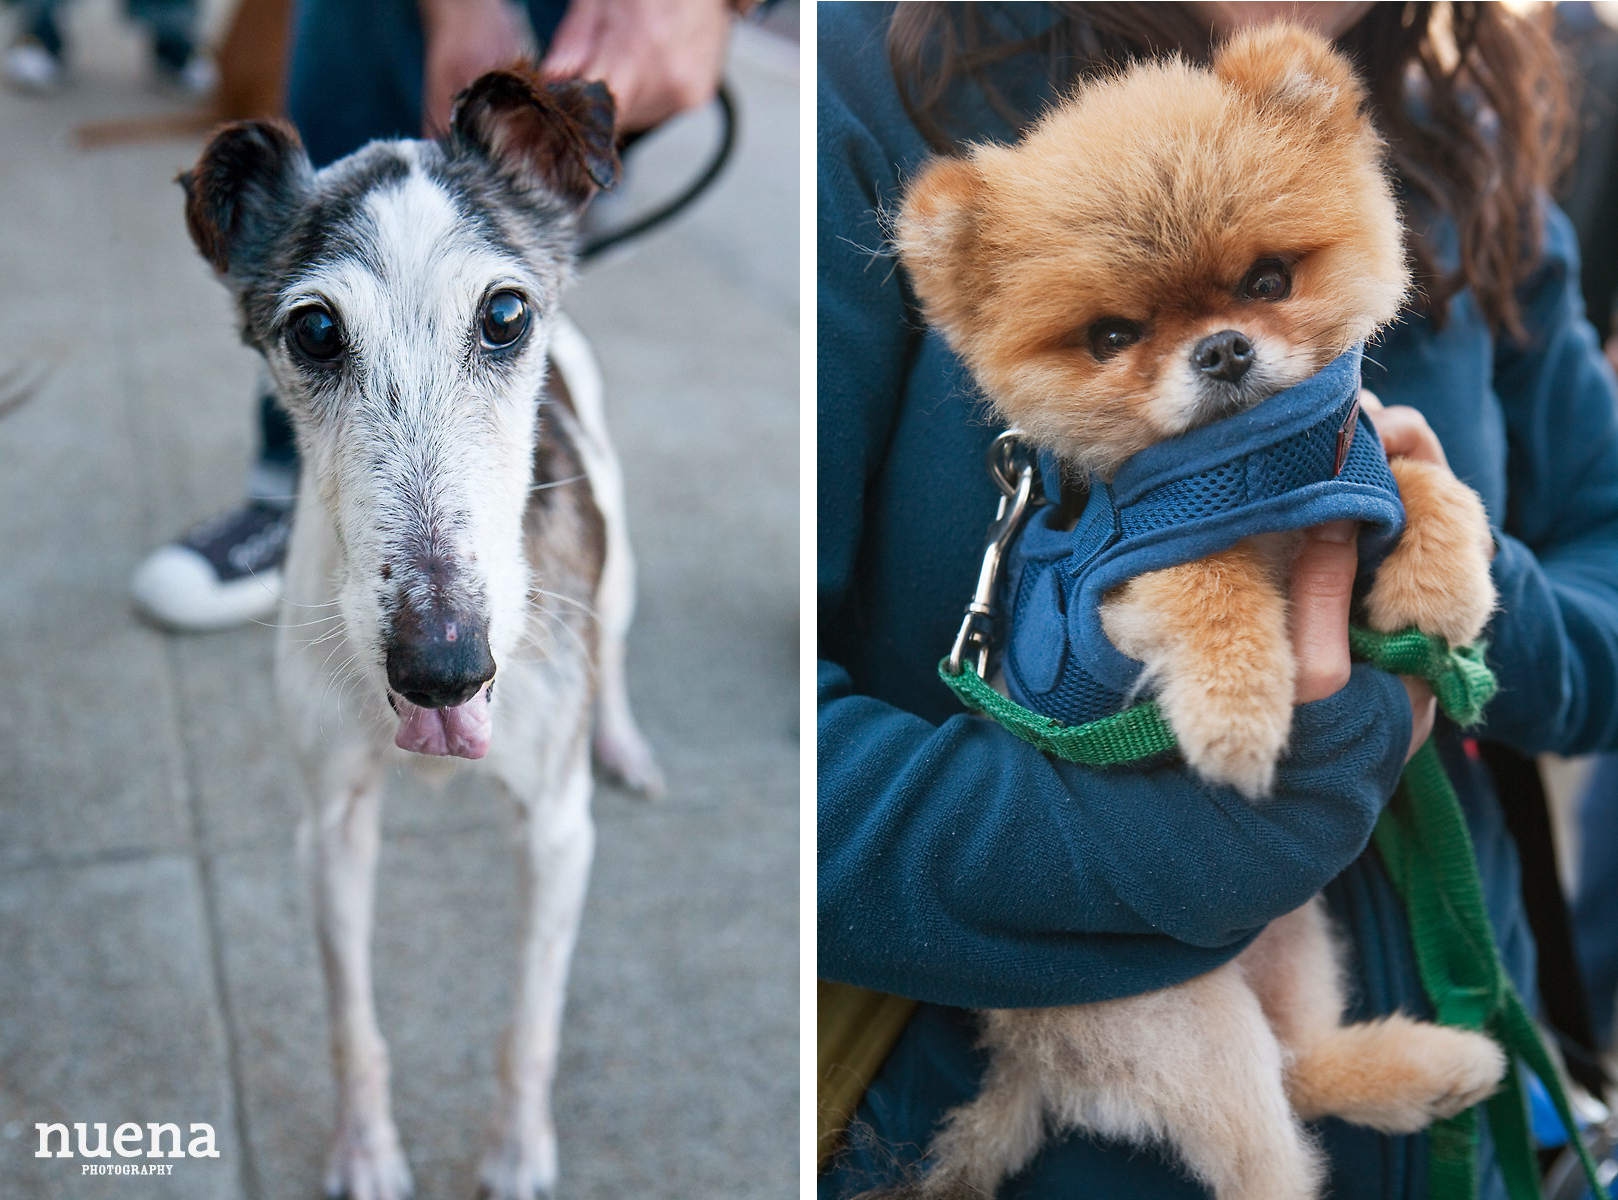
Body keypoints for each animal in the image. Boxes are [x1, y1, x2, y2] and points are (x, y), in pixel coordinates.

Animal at [177, 72, 656, 1200]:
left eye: (504, 314)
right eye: (314, 332)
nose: (443, 668)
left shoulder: (556, 832)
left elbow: (530, 1027)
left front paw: (516, 1154)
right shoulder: (331, 827)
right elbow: (353, 1025)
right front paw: (365, 1153)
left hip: (616, 564)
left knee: (613, 653)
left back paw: (621, 739)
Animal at [886, 23, 1501, 1200]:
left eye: (1268, 278)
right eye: (1110, 336)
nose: (1220, 349)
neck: (1252, 472)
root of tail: (1019, 1067)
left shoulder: (1352, 464)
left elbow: (1418, 479)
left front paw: (1443, 580)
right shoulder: (1118, 586)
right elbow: (1207, 581)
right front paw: (1237, 714)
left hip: (1296, 949)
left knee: (1304, 1068)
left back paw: (1438, 1067)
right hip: (1184, 1022)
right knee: (1267, 1152)